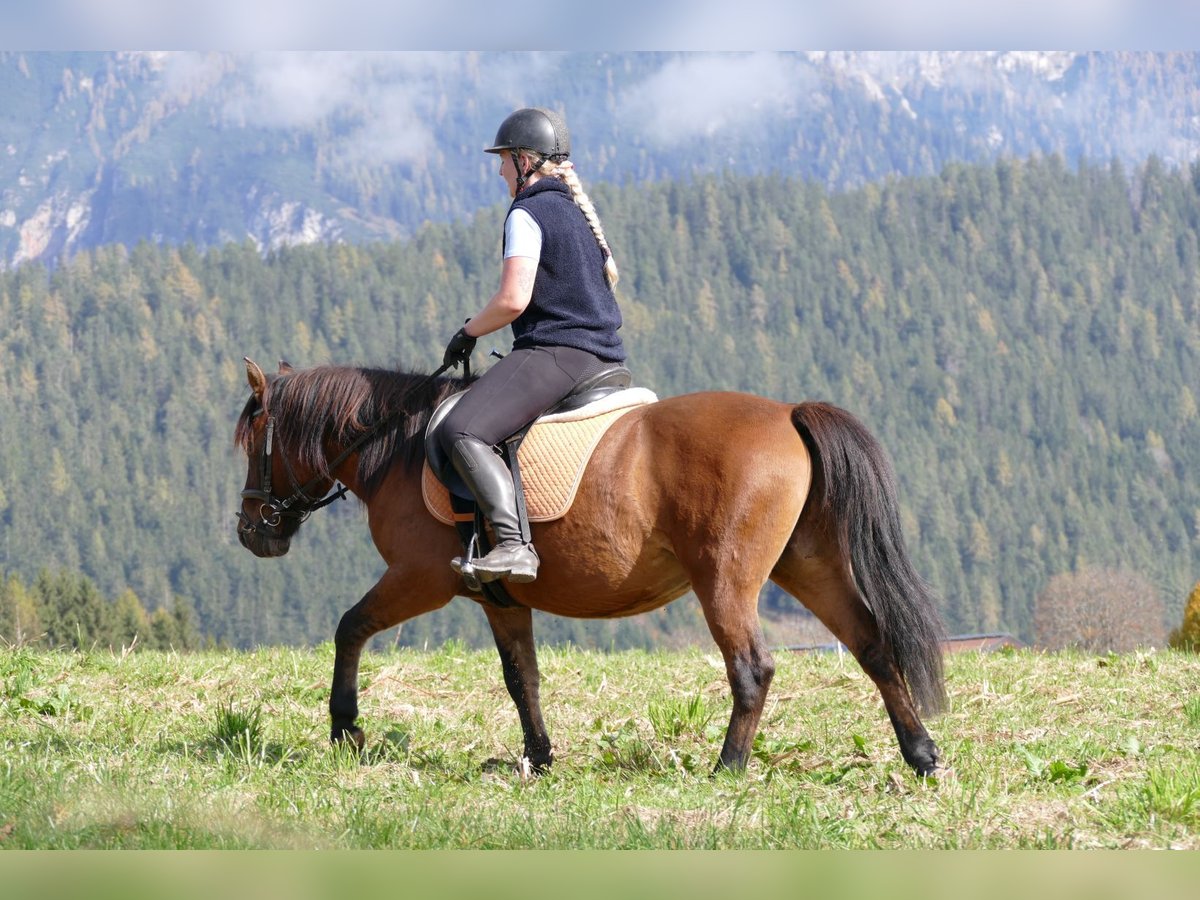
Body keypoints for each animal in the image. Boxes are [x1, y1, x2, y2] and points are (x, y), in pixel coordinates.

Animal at [234, 355, 945, 777]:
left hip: (726, 578)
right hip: (808, 564)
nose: (250, 532)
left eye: (252, 442)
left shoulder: (419, 579)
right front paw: (540, 759)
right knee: (872, 644)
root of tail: (788, 414)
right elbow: (521, 677)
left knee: (752, 668)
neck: (400, 446)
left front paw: (345, 729)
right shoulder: (499, 598)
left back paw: (728, 768)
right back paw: (922, 755)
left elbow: (349, 627)